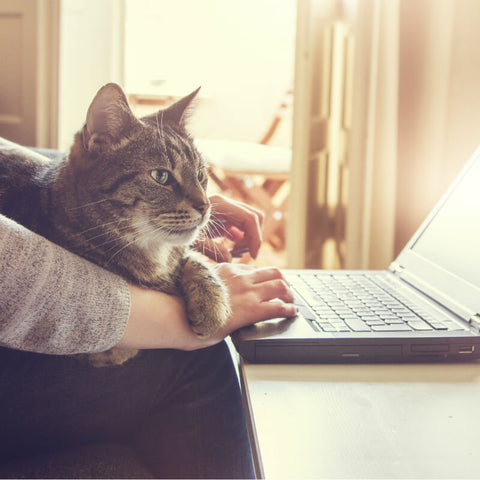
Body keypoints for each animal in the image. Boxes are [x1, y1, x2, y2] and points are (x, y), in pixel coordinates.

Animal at [0, 83, 231, 368]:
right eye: (161, 176)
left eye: (200, 174)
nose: (205, 206)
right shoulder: (97, 349)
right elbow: (120, 346)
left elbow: (194, 259)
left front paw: (212, 306)